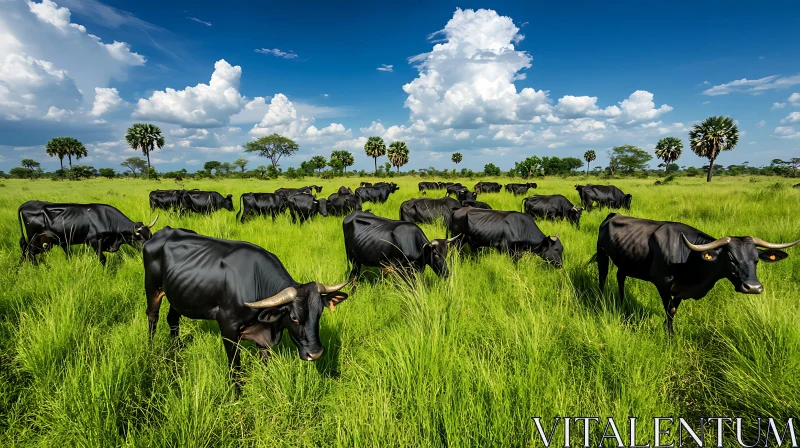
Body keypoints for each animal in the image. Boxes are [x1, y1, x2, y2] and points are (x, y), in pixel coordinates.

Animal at [18, 200, 158, 266]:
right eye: (140, 238)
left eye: (150, 236)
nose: (150, 250)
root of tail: (28, 204)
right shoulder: (94, 241)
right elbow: (102, 259)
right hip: (34, 238)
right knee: (30, 253)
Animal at [142, 228, 348, 374]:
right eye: (295, 317)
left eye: (319, 313)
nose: (316, 353)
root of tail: (162, 232)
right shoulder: (227, 328)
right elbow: (235, 369)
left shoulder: (263, 337)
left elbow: (265, 364)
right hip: (152, 289)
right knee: (152, 317)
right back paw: (150, 350)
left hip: (177, 294)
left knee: (172, 319)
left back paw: (176, 350)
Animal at [596, 213, 796, 332]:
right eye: (731, 259)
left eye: (756, 260)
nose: (753, 287)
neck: (687, 256)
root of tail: (613, 215)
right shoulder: (662, 282)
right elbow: (669, 309)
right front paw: (669, 334)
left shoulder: (680, 289)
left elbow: (674, 309)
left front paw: (667, 327)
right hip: (602, 255)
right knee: (602, 278)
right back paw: (601, 301)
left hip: (625, 261)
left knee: (620, 277)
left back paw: (622, 303)